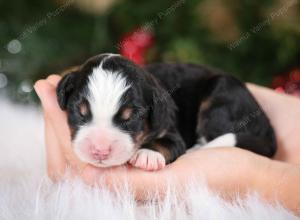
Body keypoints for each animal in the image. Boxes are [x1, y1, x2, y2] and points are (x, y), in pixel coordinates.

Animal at [56, 52, 276, 170]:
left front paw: (147, 155)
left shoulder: (170, 129)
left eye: (131, 117)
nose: (100, 150)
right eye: (80, 112)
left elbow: (168, 143)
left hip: (220, 94)